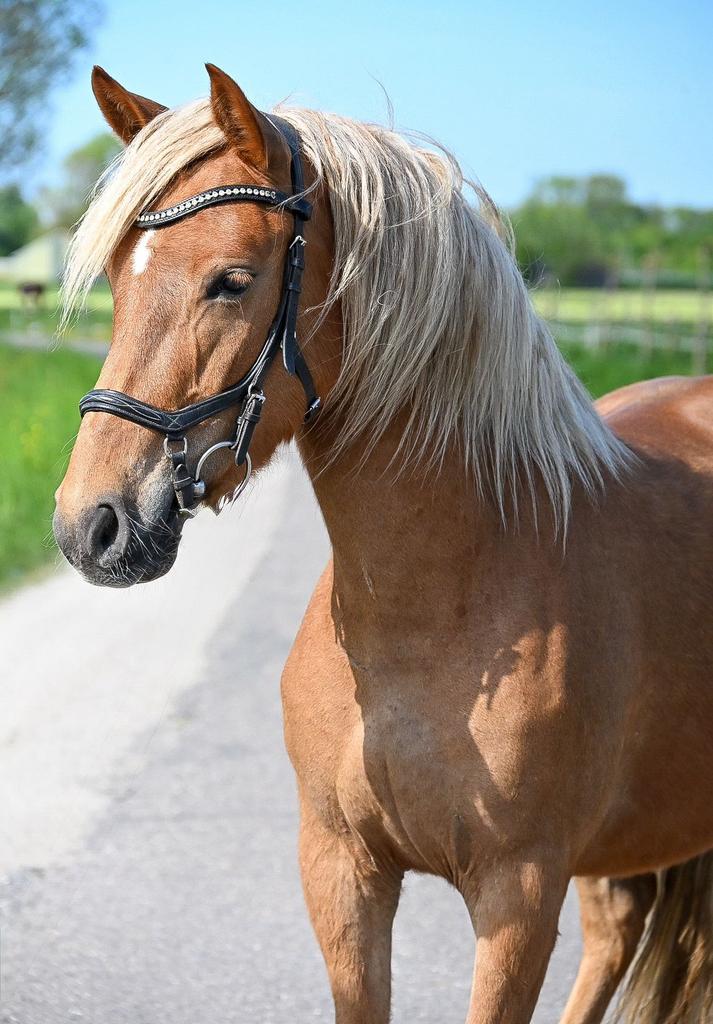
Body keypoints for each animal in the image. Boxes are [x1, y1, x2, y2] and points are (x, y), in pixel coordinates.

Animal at [53, 64, 713, 1023]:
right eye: (116, 275)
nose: (89, 524)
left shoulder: (517, 899)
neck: (436, 605)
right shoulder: (341, 871)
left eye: (231, 281)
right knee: (619, 933)